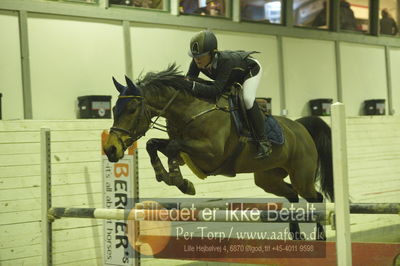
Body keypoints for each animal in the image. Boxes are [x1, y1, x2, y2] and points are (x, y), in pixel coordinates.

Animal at [101, 64, 332, 241]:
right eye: (113, 109)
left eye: (132, 109)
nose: (111, 149)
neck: (189, 110)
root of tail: (300, 127)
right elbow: (153, 144)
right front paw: (170, 177)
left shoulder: (211, 154)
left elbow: (173, 147)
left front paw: (180, 182)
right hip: (268, 179)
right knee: (292, 195)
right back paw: (296, 235)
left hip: (301, 176)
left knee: (316, 197)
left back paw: (320, 237)